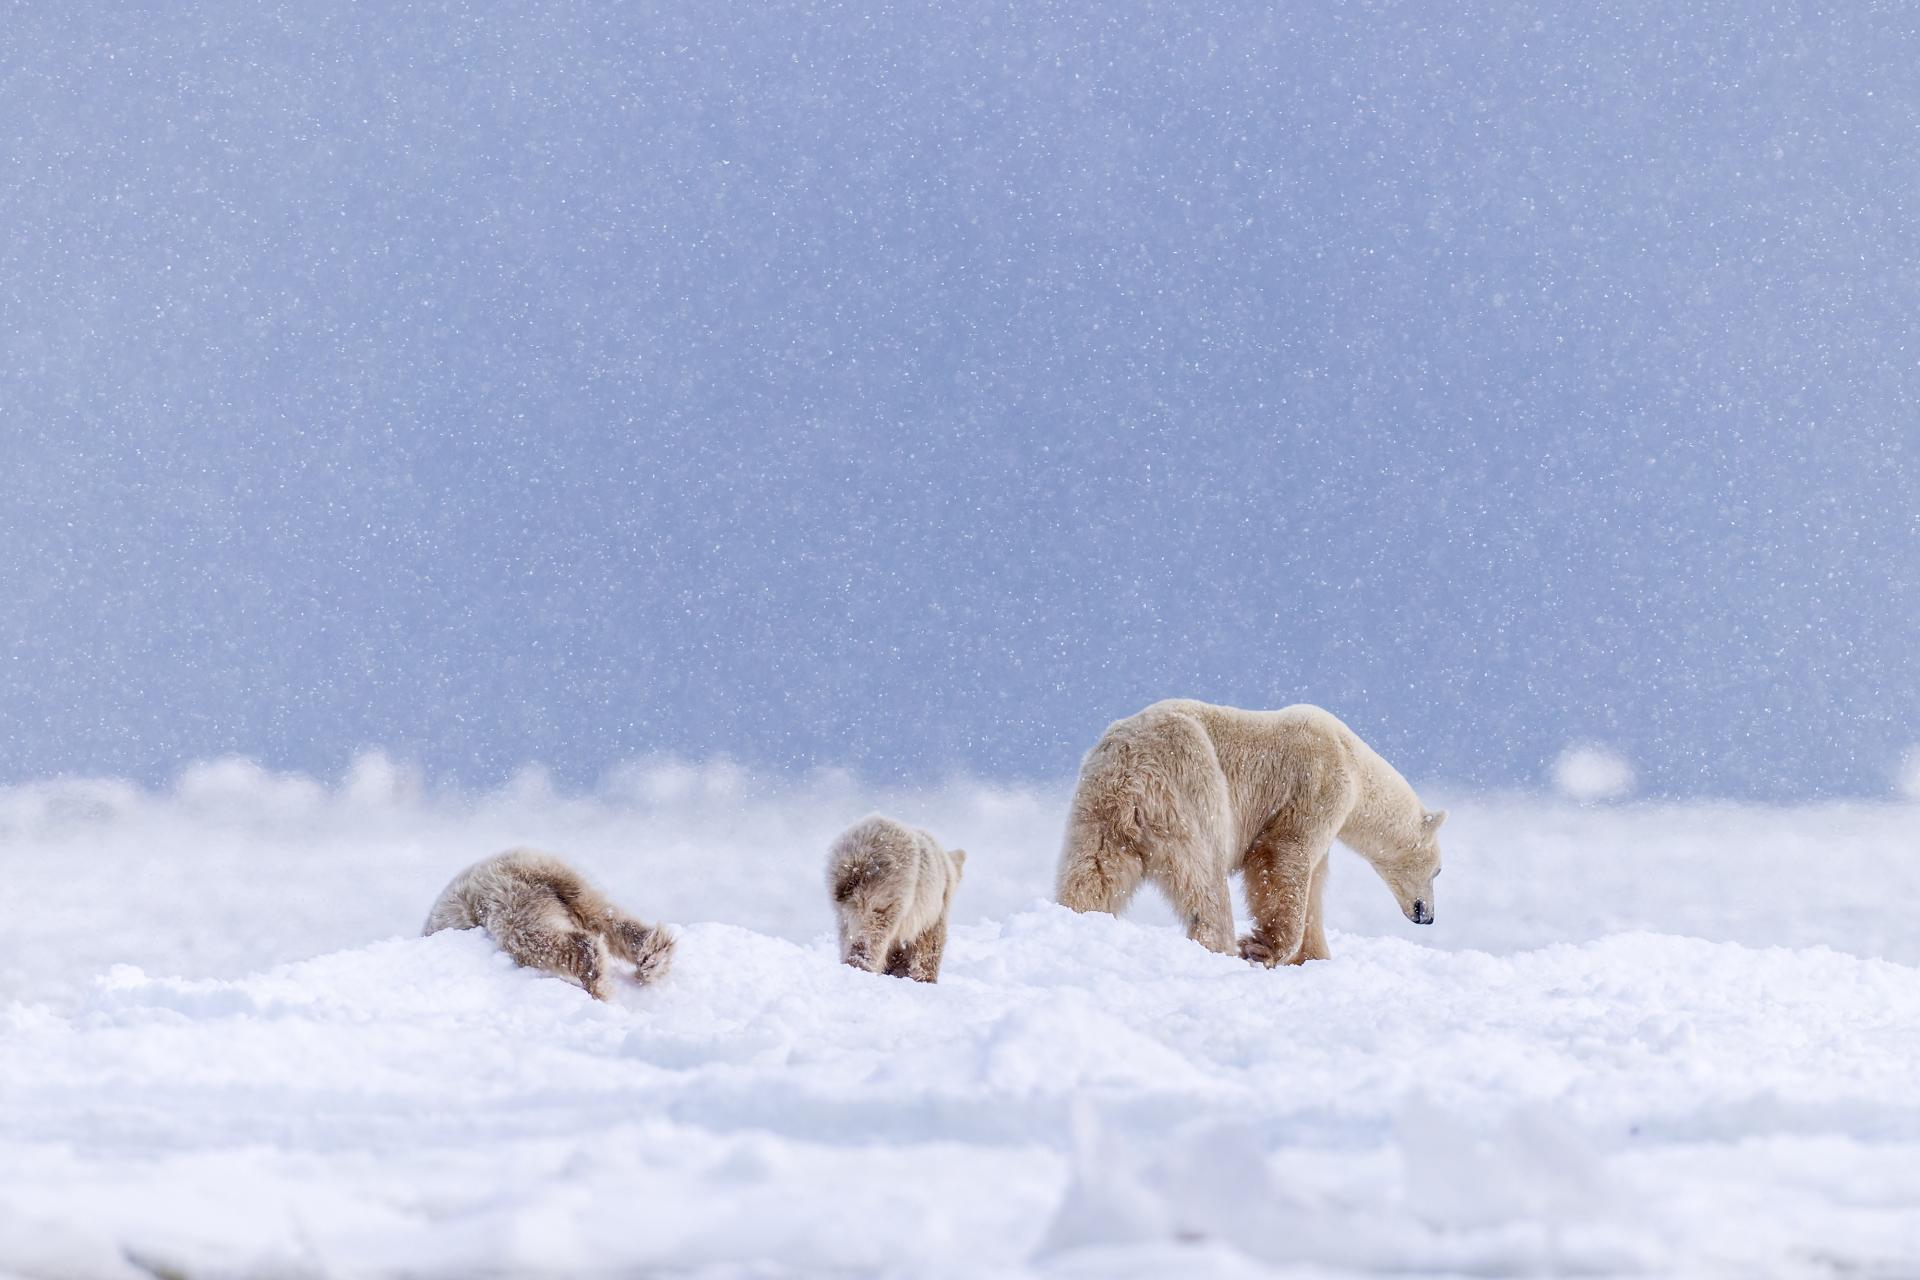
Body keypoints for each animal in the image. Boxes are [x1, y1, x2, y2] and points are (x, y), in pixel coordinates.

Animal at [426, 852, 675, 997]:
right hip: (570, 883)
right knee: (604, 915)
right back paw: (654, 956)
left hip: (511, 903)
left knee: (534, 939)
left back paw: (598, 983)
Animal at [829, 817, 967, 990]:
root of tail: (859, 857)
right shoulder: (935, 905)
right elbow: (931, 940)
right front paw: (927, 979)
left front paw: (896, 970)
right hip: (891, 887)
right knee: (874, 931)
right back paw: (862, 965)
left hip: (842, 896)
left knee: (847, 930)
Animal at [1059, 706, 1443, 967]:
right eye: (1439, 871)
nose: (1427, 916)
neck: (1355, 761)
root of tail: (1129, 770)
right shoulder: (1319, 784)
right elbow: (1283, 854)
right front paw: (1262, 948)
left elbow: (1313, 884)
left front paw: (1314, 956)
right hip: (1191, 786)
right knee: (1205, 881)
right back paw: (1222, 944)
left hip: (1098, 810)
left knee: (1094, 870)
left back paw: (1078, 913)